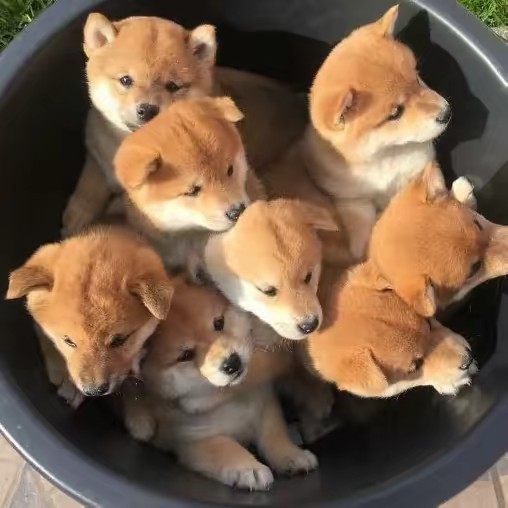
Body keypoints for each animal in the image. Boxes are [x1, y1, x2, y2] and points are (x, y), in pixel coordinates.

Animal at [62, 13, 305, 236]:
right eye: (125, 80)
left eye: (173, 86)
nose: (148, 109)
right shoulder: (96, 153)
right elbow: (90, 183)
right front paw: (76, 217)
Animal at [123, 280, 317, 490]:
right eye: (186, 355)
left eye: (219, 323)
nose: (232, 363)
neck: (228, 399)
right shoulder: (193, 439)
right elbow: (226, 448)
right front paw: (248, 467)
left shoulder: (266, 407)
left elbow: (275, 434)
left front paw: (291, 455)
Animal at [264, 5, 451, 261]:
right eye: (395, 113)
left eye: (417, 78)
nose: (447, 112)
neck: (385, 158)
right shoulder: (353, 202)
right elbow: (365, 237)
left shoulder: (423, 168)